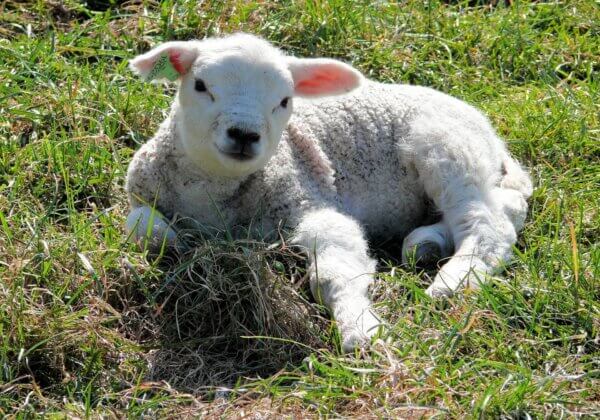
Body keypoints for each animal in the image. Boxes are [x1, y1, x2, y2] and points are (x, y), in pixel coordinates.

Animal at [125, 32, 528, 352]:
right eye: (200, 85)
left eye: (284, 101)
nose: (244, 134)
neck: (212, 193)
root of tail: (490, 133)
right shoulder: (141, 195)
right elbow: (143, 229)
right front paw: (178, 245)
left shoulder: (308, 198)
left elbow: (335, 268)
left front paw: (361, 331)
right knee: (505, 206)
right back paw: (426, 243)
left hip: (447, 149)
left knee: (489, 224)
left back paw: (452, 282)